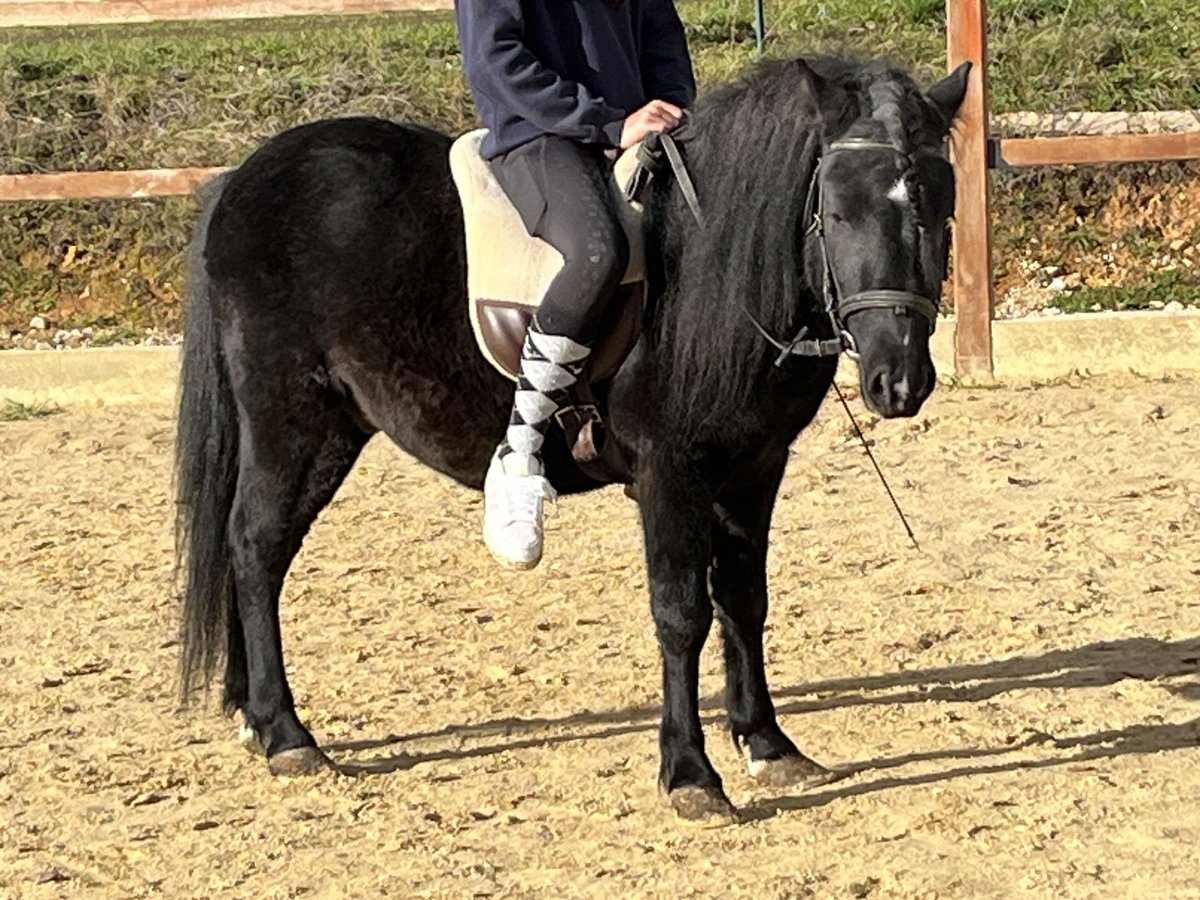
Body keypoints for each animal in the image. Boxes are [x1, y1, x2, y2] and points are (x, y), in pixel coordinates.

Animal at [175, 53, 970, 826]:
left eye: (940, 206)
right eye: (836, 209)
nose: (900, 380)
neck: (711, 267)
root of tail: (244, 178)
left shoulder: (754, 468)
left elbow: (744, 600)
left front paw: (769, 745)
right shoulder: (671, 473)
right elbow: (681, 612)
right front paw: (691, 775)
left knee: (258, 551)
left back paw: (253, 718)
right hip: (294, 420)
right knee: (255, 546)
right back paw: (286, 733)